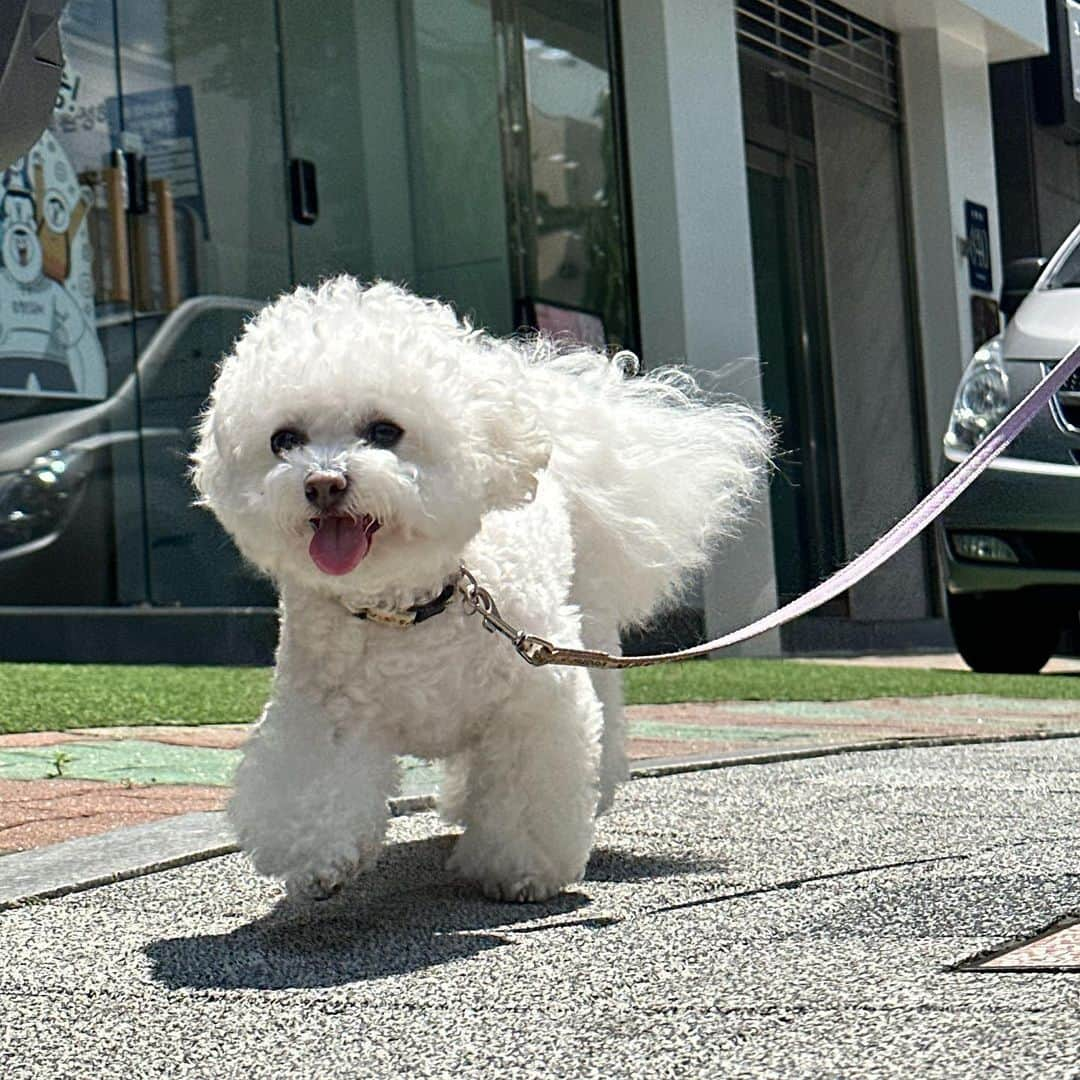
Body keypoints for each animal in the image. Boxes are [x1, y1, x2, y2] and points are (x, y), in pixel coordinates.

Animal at [194, 278, 768, 902]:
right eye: (284, 440)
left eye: (385, 431)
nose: (323, 483)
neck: (409, 608)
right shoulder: (323, 712)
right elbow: (316, 786)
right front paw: (318, 858)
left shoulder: (533, 700)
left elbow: (523, 790)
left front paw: (521, 869)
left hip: (585, 635)